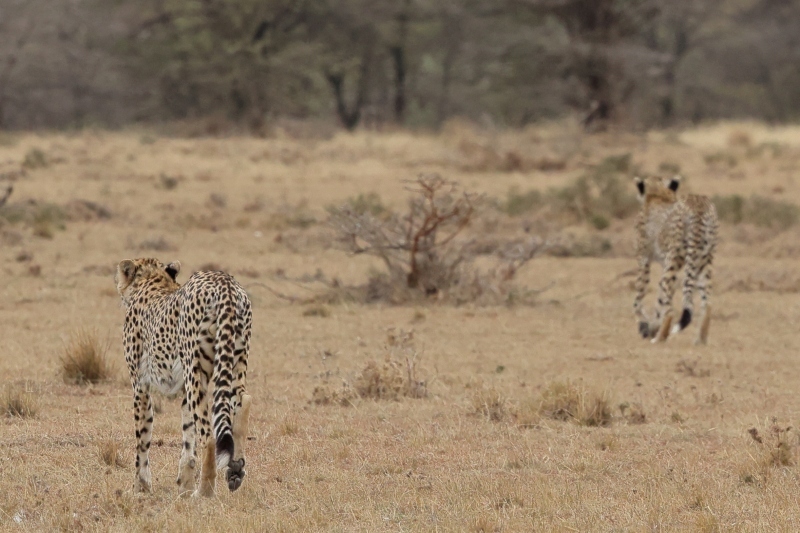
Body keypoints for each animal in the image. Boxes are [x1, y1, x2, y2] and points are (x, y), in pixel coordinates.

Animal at [114, 258, 252, 494]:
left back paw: (205, 492)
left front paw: (140, 486)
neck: (154, 280)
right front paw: (185, 487)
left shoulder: (140, 386)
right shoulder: (184, 390)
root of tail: (224, 281)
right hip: (234, 361)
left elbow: (142, 439)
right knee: (243, 402)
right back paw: (235, 469)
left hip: (195, 368)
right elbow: (188, 440)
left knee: (209, 434)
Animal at [632, 177, 720, 344]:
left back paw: (659, 338)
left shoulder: (643, 259)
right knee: (708, 302)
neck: (659, 194)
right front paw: (652, 326)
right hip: (704, 259)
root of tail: (698, 202)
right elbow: (660, 298)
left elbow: (638, 298)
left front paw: (645, 326)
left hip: (674, 257)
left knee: (671, 310)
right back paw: (700, 340)